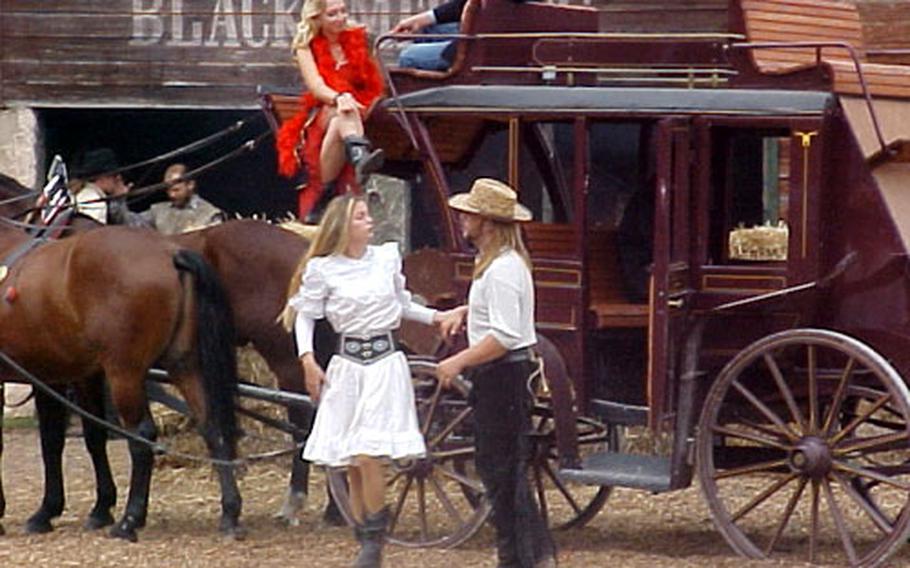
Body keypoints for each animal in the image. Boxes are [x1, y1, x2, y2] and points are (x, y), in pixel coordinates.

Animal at [0, 174, 242, 540]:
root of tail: (170, 253)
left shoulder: (49, 378)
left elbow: (51, 440)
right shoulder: (69, 375)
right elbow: (87, 436)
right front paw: (92, 508)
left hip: (125, 373)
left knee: (142, 435)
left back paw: (131, 520)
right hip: (183, 365)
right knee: (211, 426)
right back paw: (229, 513)